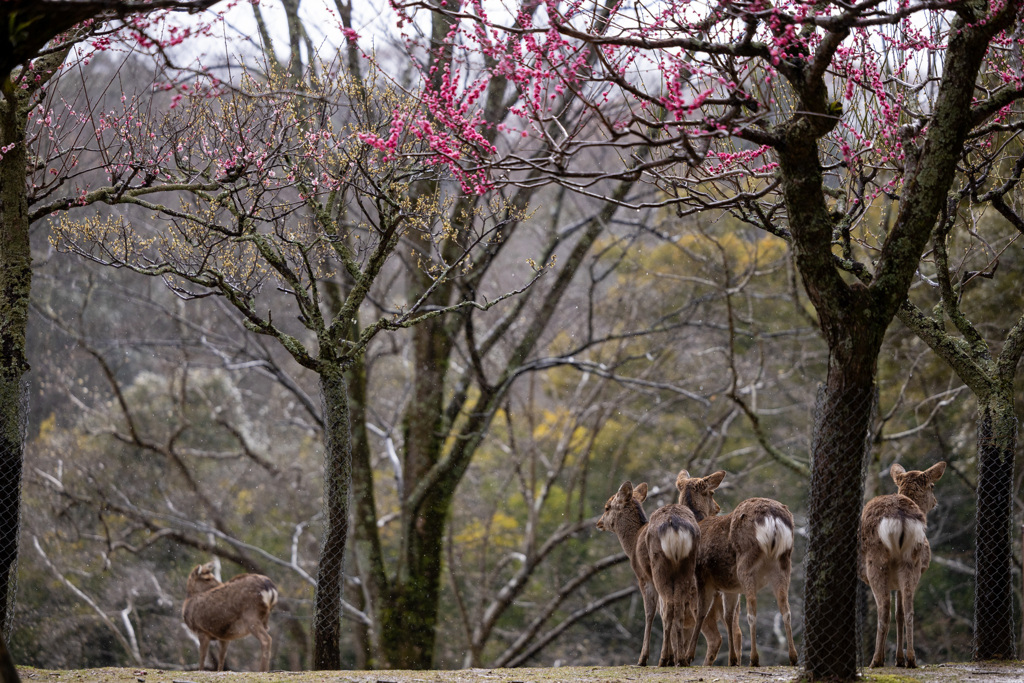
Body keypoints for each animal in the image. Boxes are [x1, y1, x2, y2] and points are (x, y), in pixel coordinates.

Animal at [593, 481, 712, 667]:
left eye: (607, 507)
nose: (599, 523)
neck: (632, 544)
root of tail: (674, 526)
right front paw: (672, 656)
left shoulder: (643, 576)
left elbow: (650, 612)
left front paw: (643, 658)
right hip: (686, 566)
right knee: (678, 606)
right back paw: (681, 658)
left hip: (659, 568)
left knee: (670, 606)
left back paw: (663, 658)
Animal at [675, 471, 802, 667]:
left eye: (712, 492)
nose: (717, 507)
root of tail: (772, 518)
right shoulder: (730, 586)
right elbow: (728, 617)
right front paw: (733, 659)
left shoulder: (702, 577)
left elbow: (702, 613)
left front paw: (689, 656)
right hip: (783, 563)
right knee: (785, 609)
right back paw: (793, 657)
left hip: (746, 564)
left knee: (752, 611)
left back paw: (754, 659)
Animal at [860, 458, 946, 667]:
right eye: (932, 486)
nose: (935, 502)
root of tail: (899, 517)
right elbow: (899, 613)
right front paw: (899, 659)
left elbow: (893, 612)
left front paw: (892, 658)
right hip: (911, 561)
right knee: (909, 610)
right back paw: (911, 659)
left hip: (876, 563)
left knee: (884, 609)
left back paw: (876, 660)